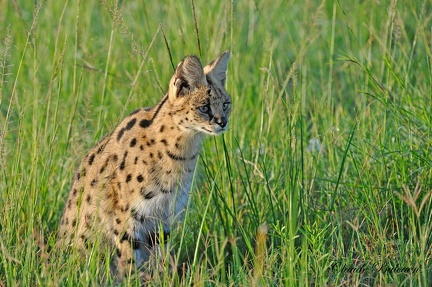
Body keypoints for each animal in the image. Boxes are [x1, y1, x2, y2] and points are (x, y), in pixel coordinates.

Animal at [59, 51, 231, 280]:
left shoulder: (162, 215)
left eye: (226, 104)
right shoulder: (128, 215)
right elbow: (129, 259)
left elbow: (161, 258)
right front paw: (132, 280)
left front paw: (165, 279)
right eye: (204, 107)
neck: (181, 154)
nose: (223, 122)